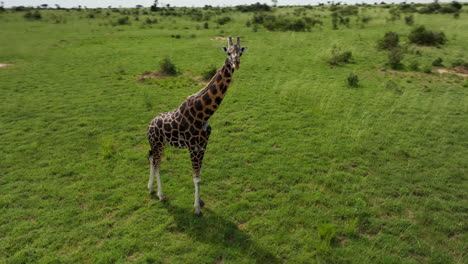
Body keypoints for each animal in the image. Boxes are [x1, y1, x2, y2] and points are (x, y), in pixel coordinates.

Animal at [148, 36, 247, 216]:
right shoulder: (193, 147)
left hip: (161, 144)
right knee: (157, 164)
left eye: (240, 52)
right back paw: (161, 195)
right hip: (157, 143)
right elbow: (196, 177)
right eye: (228, 52)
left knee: (152, 159)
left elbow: (199, 175)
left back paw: (150, 188)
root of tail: (149, 126)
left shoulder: (203, 145)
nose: (236, 63)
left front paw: (200, 201)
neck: (204, 113)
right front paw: (197, 209)